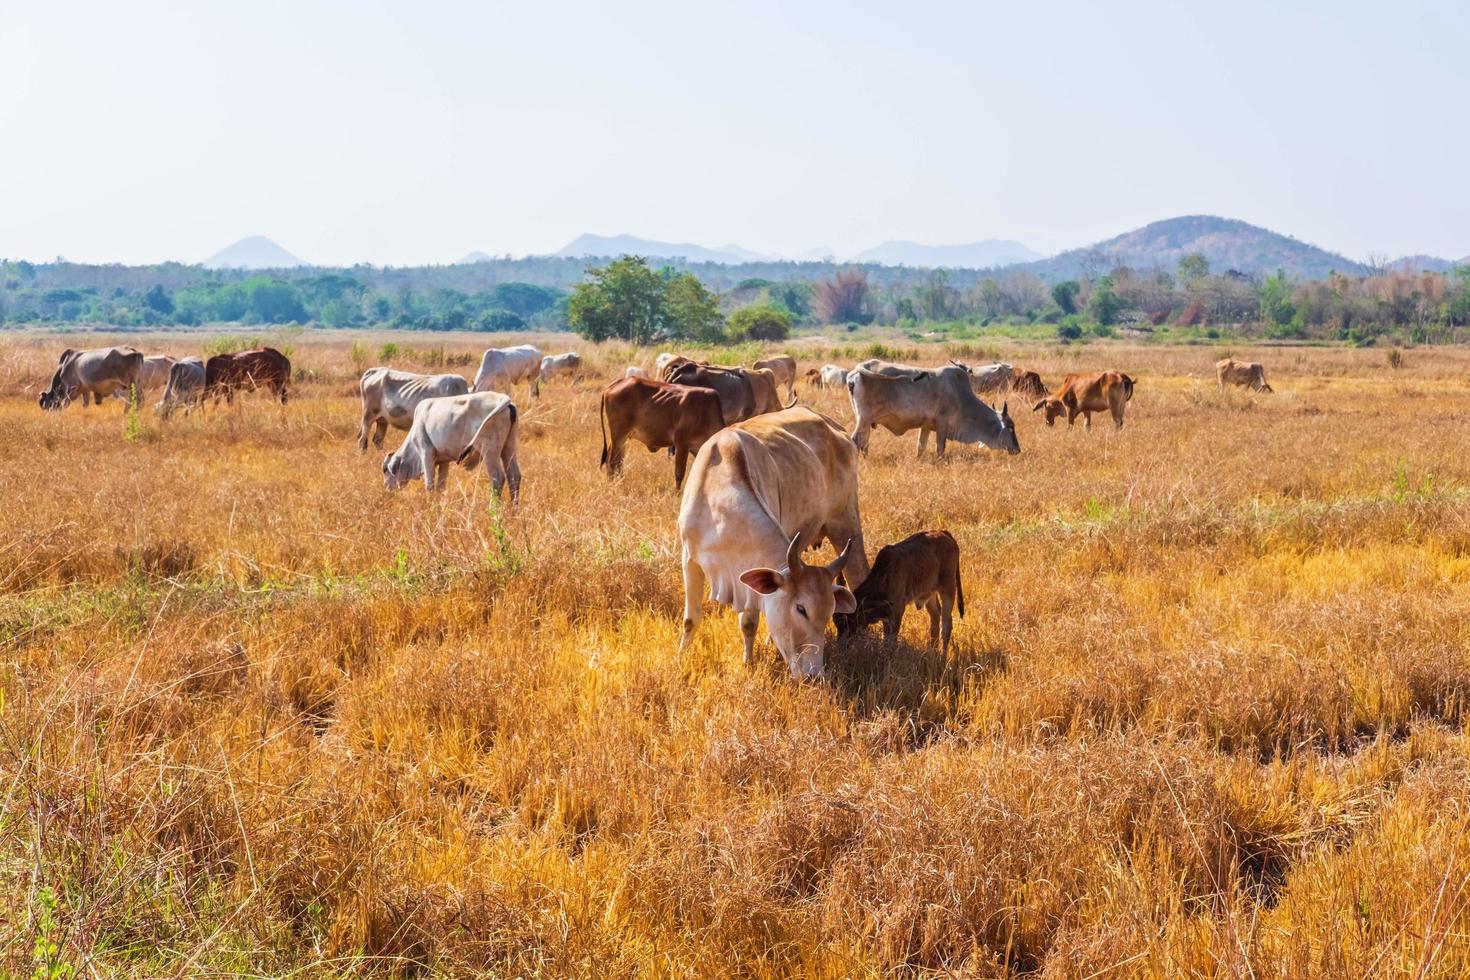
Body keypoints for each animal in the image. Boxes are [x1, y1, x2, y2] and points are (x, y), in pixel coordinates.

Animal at [382, 387, 520, 502]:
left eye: (385, 470)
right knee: (514, 476)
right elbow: (441, 486)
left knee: (498, 478)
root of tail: (503, 399)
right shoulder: (443, 461)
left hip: (489, 450)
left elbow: (429, 484)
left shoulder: (426, 452)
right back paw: (513, 509)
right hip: (509, 446)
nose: (387, 489)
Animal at [673, 402, 864, 678]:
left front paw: (747, 664)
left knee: (859, 574)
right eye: (801, 608)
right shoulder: (690, 559)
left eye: (830, 611)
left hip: (846, 523)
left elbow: (748, 622)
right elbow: (690, 619)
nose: (813, 674)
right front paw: (682, 657)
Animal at [846, 364, 1017, 461]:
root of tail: (856, 371)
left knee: (864, 443)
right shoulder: (942, 424)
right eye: (1010, 427)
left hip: (866, 422)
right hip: (863, 419)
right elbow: (940, 448)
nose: (1018, 449)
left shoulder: (926, 426)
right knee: (856, 440)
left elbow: (920, 448)